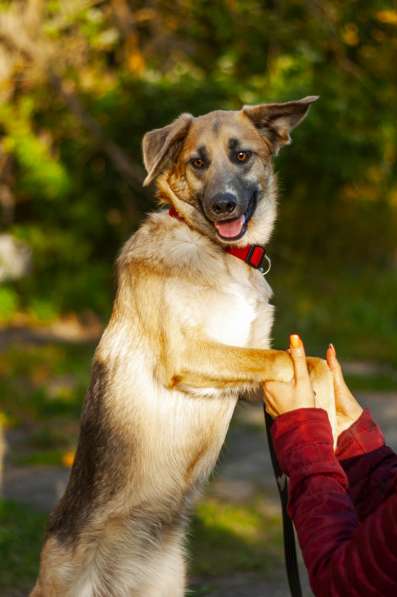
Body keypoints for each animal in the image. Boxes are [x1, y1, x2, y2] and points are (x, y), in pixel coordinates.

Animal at [31, 98, 334, 596]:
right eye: (197, 162)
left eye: (242, 155)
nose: (222, 204)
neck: (217, 252)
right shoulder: (189, 355)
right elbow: (293, 361)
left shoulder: (245, 373)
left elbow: (281, 359)